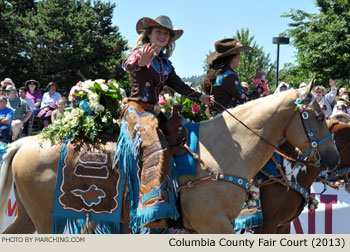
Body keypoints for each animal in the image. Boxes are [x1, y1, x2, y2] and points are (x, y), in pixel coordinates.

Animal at [0, 80, 340, 234]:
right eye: (317, 116)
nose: (333, 160)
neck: (226, 150)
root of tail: (26, 142)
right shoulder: (214, 222)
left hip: (29, 216)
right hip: (46, 218)